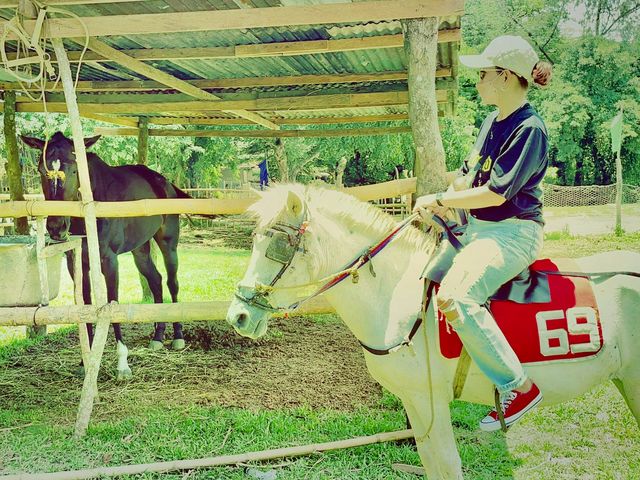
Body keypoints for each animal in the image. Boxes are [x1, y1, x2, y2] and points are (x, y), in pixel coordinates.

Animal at [23, 131, 188, 378]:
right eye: (42, 170)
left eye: (75, 170)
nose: (56, 227)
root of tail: (164, 182)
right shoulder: (77, 264)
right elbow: (86, 305)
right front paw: (87, 361)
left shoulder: (109, 261)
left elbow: (113, 303)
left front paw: (122, 363)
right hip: (140, 250)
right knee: (156, 280)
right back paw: (158, 337)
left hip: (168, 243)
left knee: (172, 283)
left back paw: (177, 336)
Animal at [226, 183, 640, 476]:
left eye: (278, 245)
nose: (238, 315)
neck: (399, 295)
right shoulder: (417, 405)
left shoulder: (429, 400)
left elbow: (447, 466)